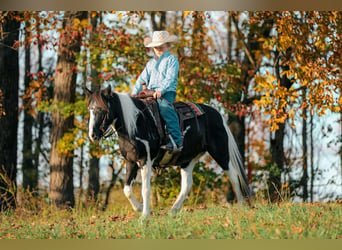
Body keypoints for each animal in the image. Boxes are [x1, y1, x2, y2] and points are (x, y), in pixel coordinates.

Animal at [85, 87, 251, 218]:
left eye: (102, 109)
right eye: (90, 110)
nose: (92, 135)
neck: (135, 123)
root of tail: (217, 114)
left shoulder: (145, 160)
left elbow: (145, 189)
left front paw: (145, 215)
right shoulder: (131, 161)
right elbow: (127, 189)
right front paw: (140, 208)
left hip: (220, 152)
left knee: (233, 176)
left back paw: (242, 205)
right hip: (188, 160)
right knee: (187, 185)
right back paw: (173, 210)